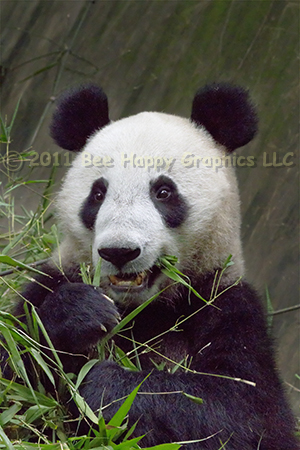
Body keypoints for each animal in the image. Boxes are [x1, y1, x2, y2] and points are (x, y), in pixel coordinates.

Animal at [8, 84, 298, 450]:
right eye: (98, 194)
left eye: (163, 192)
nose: (119, 251)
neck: (143, 309)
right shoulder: (53, 278)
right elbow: (15, 371)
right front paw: (80, 313)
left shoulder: (226, 305)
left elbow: (244, 414)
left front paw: (108, 386)